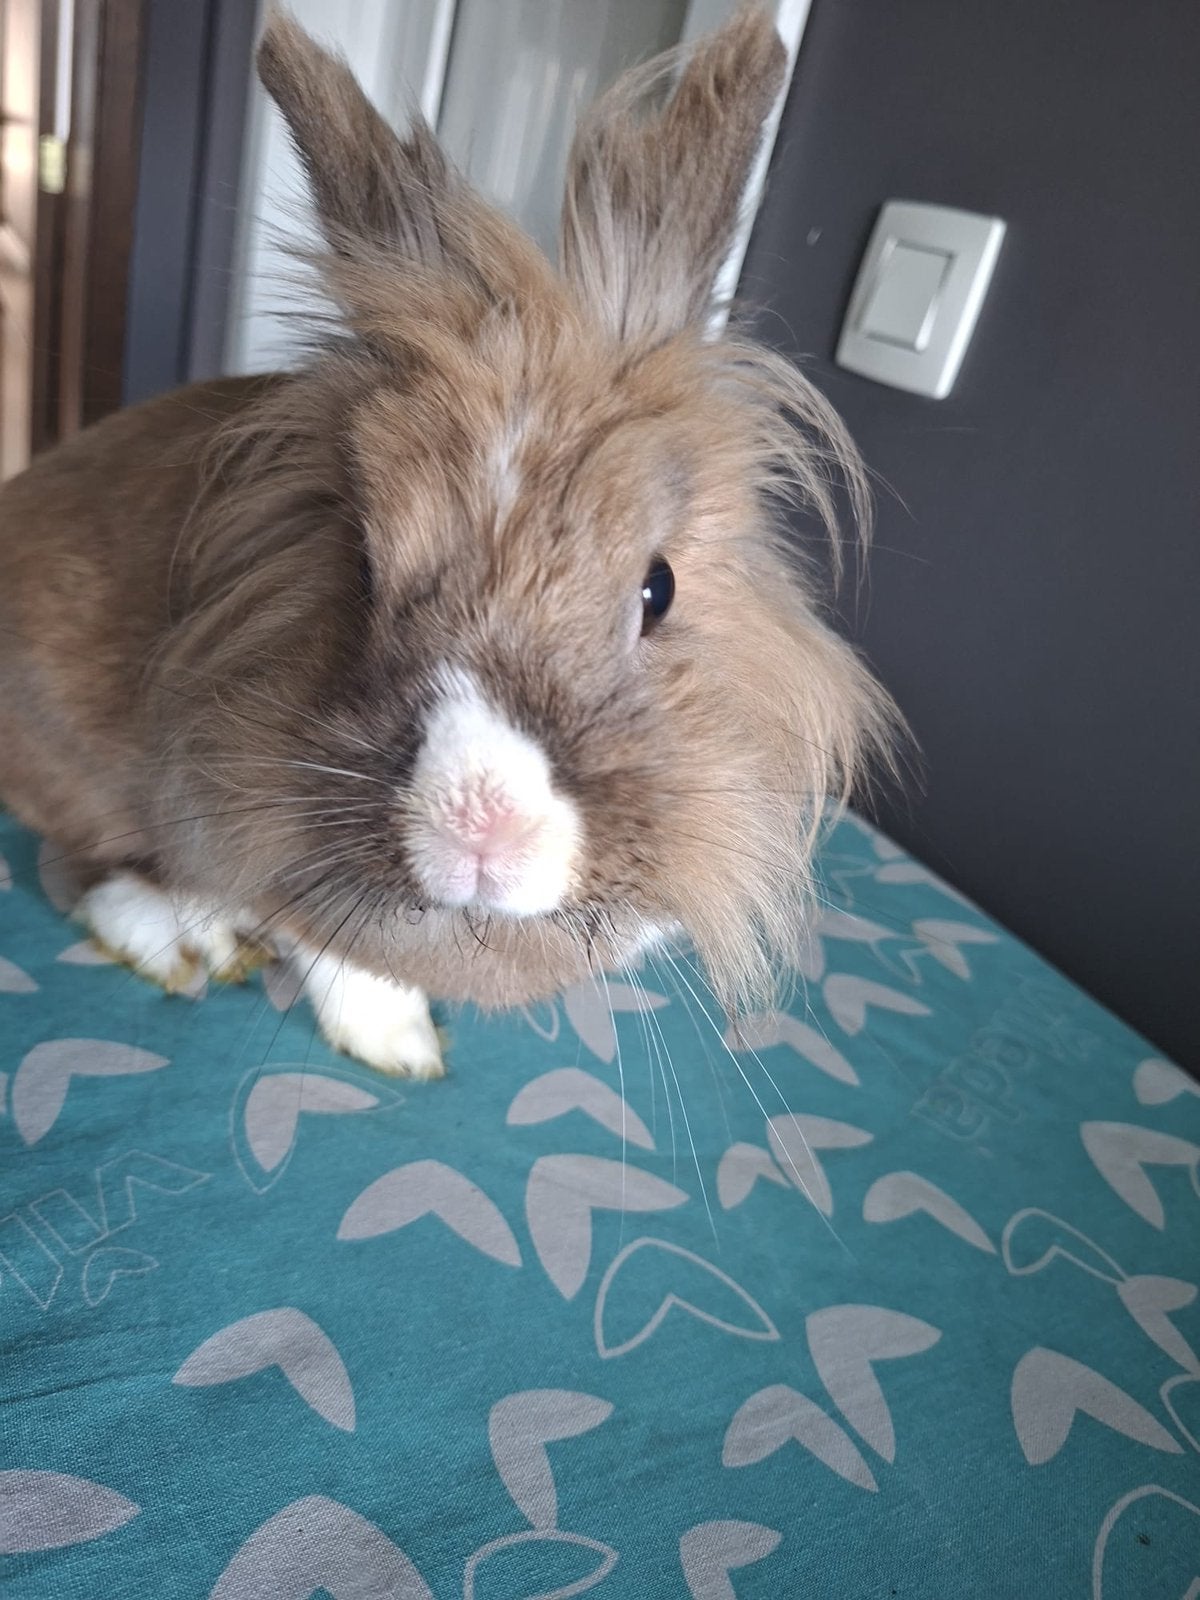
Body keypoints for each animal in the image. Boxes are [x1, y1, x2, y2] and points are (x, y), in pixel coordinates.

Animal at [0, 5, 895, 1079]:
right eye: (360, 569)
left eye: (658, 589)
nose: (481, 822)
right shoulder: (250, 834)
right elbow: (339, 954)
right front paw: (402, 1048)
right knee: (77, 872)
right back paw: (186, 943)